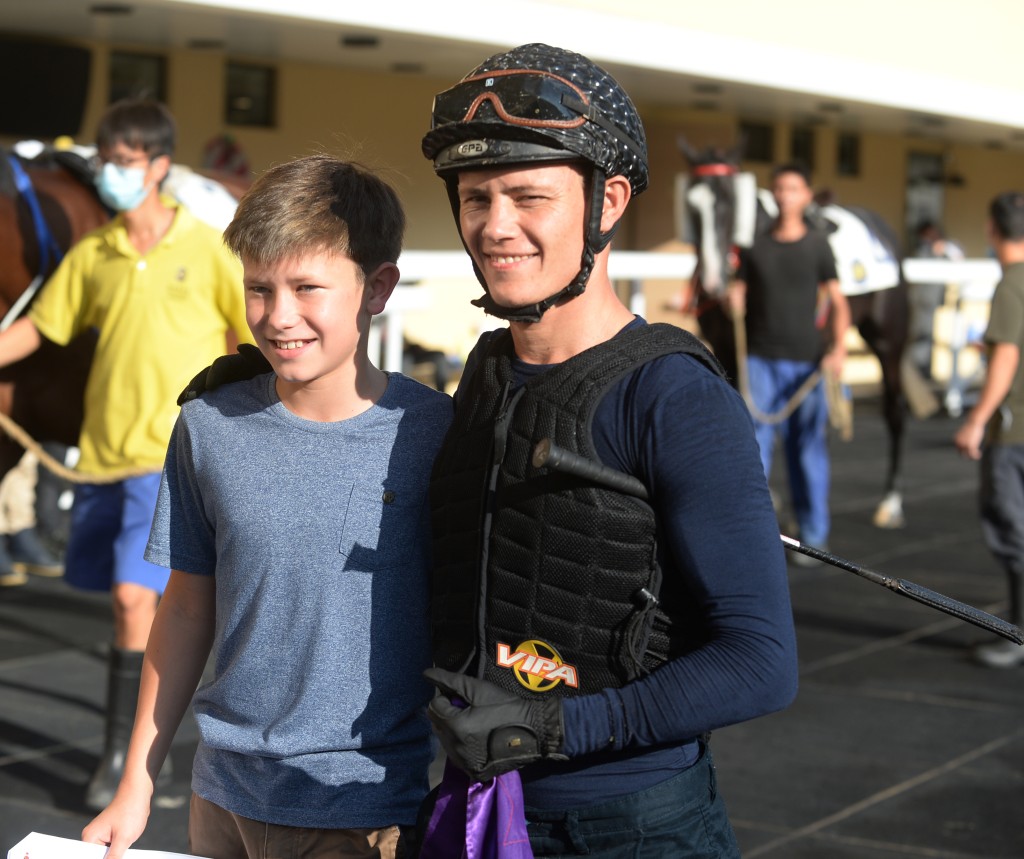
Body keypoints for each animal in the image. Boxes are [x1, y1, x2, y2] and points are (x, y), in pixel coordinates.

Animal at [679, 143, 913, 528]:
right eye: (691, 205)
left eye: (730, 201)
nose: (714, 282)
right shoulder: (727, 349)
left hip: (888, 340)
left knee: (893, 410)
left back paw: (890, 502)